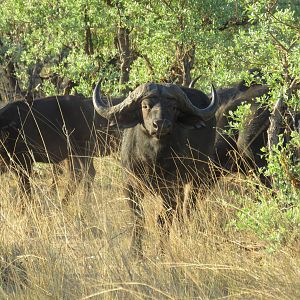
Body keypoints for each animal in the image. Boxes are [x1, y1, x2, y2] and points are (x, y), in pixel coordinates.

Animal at [92, 81, 219, 256]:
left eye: (173, 107)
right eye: (145, 106)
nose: (160, 125)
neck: (152, 159)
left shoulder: (170, 189)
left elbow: (163, 220)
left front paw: (161, 251)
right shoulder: (130, 185)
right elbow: (138, 219)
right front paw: (135, 253)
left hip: (198, 178)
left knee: (187, 207)